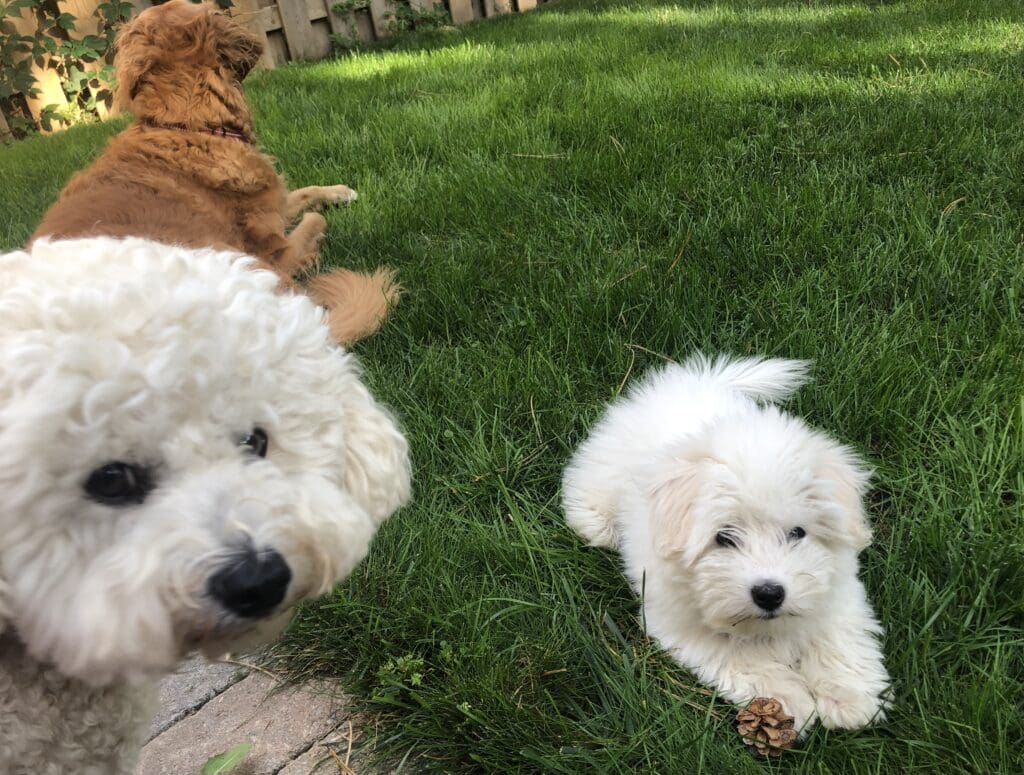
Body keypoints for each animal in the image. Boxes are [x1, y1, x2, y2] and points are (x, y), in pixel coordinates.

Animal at [33, 0, 395, 343]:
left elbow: (304, 192)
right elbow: (314, 220)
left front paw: (340, 192)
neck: (189, 127)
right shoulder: (278, 252)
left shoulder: (270, 201)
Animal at [565, 354, 892, 733]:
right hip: (603, 471)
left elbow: (837, 637)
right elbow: (739, 654)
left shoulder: (836, 592)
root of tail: (690, 380)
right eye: (724, 537)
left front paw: (849, 698)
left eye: (797, 532)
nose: (769, 593)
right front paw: (786, 701)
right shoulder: (683, 622)